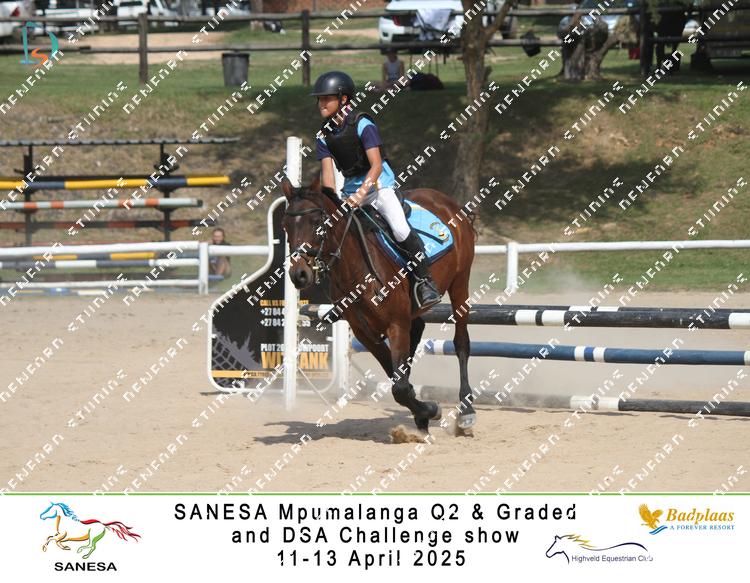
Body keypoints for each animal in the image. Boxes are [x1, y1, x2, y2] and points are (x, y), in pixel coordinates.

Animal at [281, 174, 476, 435]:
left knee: (461, 343)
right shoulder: (365, 333)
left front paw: (429, 410)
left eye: (316, 222)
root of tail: (445, 200)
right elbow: (397, 380)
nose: (299, 275)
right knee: (418, 330)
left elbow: (399, 386)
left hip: (460, 284)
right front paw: (423, 412)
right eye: (285, 225)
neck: (356, 269)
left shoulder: (396, 325)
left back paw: (467, 411)